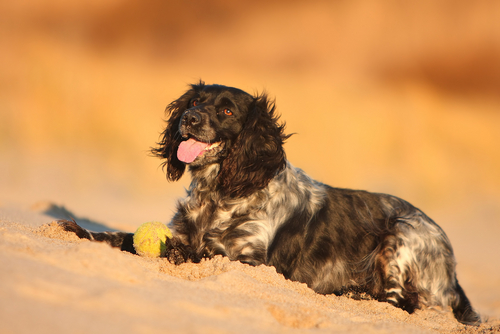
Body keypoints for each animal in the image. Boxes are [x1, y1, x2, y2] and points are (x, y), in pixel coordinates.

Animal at [60, 82, 482, 324]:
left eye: (227, 110)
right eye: (194, 101)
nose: (189, 119)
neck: (221, 194)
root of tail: (452, 271)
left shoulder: (251, 261)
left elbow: (197, 253)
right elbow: (125, 237)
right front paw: (77, 229)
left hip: (403, 236)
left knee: (400, 302)